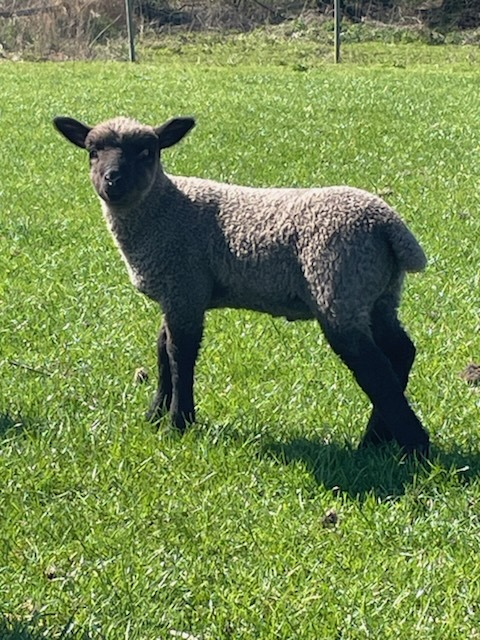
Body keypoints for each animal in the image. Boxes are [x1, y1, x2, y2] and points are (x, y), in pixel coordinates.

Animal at [53, 114, 432, 456]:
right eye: (92, 152)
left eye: (148, 152)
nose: (113, 180)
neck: (165, 209)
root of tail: (389, 225)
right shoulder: (177, 292)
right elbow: (162, 351)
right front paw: (155, 415)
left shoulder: (185, 285)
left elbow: (180, 355)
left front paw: (179, 423)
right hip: (377, 294)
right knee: (400, 352)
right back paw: (376, 440)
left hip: (338, 287)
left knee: (373, 367)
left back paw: (412, 446)